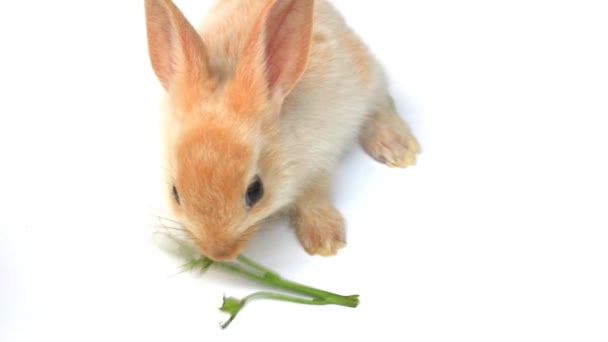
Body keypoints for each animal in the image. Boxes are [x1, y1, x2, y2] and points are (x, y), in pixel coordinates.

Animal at [144, 0, 418, 262]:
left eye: (256, 191)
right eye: (175, 193)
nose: (219, 253)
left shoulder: (318, 162)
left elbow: (313, 196)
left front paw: (325, 241)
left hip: (366, 75)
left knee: (381, 102)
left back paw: (398, 150)